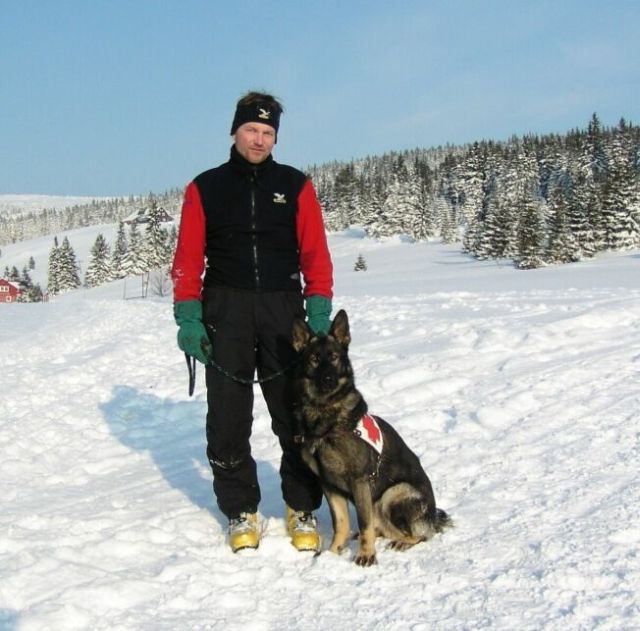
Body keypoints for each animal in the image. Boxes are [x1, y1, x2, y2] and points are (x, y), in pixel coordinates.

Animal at [292, 312, 452, 568]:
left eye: (334, 357)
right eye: (315, 358)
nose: (327, 379)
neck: (326, 417)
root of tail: (432, 518)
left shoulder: (360, 481)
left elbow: (364, 522)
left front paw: (366, 555)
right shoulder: (329, 485)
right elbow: (341, 523)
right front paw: (333, 552)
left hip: (390, 495)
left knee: (417, 535)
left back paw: (402, 542)